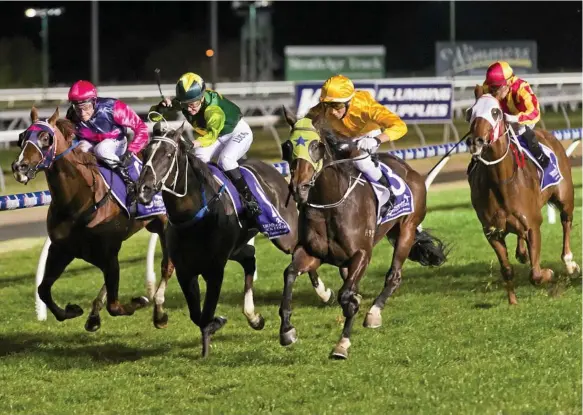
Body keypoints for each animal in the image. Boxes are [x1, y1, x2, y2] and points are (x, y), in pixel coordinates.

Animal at [10, 106, 176, 332]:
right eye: (21, 137)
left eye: (45, 137)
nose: (20, 167)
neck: (78, 201)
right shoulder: (62, 249)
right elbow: (43, 289)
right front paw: (72, 311)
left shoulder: (108, 252)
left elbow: (115, 306)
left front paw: (140, 301)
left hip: (164, 224)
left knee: (167, 266)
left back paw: (158, 312)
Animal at [134, 122, 330, 358]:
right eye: (145, 153)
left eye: (168, 154)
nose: (142, 189)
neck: (194, 216)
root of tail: (272, 168)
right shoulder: (186, 271)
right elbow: (197, 315)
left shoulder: (215, 270)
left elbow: (206, 314)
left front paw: (211, 333)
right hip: (237, 247)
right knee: (250, 259)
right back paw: (254, 316)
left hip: (284, 234)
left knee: (299, 253)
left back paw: (322, 294)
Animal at [280, 109, 450, 360]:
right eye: (287, 146)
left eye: (316, 145)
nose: (298, 188)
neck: (330, 202)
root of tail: (411, 170)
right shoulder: (312, 252)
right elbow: (290, 274)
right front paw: (287, 331)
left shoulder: (362, 254)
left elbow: (346, 296)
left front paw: (342, 344)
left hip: (407, 231)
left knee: (394, 276)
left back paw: (374, 313)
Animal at [466, 87, 580, 306]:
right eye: (470, 112)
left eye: (495, 112)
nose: (476, 141)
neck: (500, 181)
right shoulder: (492, 232)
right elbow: (507, 270)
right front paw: (512, 302)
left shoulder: (533, 226)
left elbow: (535, 274)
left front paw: (549, 273)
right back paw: (522, 253)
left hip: (565, 197)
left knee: (566, 222)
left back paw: (569, 263)